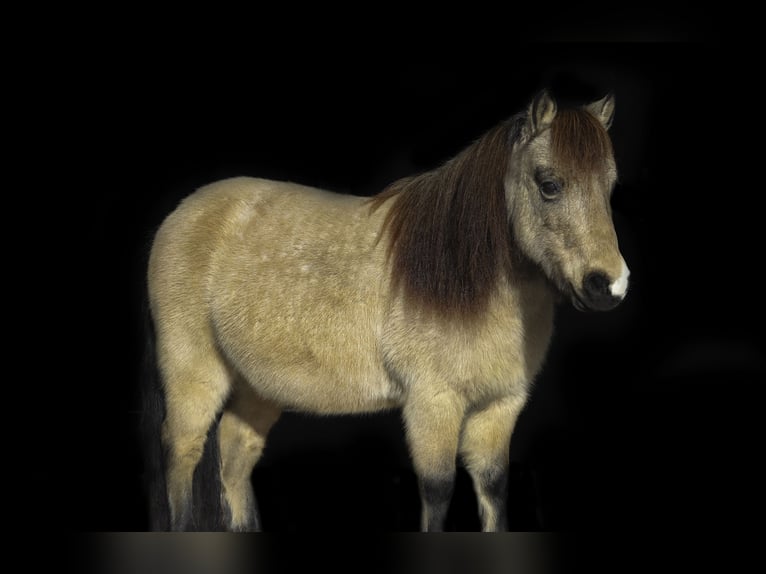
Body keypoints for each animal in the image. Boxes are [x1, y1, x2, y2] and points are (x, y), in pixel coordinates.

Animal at [142, 91, 632, 536]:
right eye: (549, 184)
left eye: (609, 187)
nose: (609, 285)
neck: (456, 277)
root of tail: (184, 212)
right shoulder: (432, 402)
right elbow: (438, 490)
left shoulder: (500, 406)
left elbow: (493, 489)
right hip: (194, 374)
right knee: (183, 451)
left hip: (257, 387)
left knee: (235, 455)